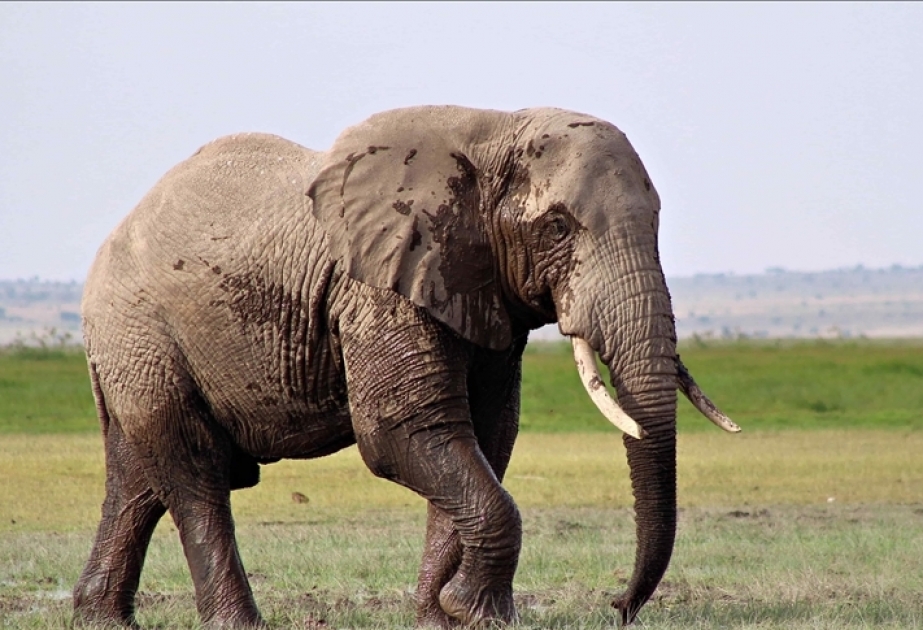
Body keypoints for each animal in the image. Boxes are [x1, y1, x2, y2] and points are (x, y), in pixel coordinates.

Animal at [73, 105, 739, 629]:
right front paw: (475, 613)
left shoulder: (477, 286)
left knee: (139, 478)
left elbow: (484, 436)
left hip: (137, 349)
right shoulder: (377, 285)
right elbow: (406, 433)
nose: (617, 607)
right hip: (142, 332)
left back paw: (99, 619)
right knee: (194, 471)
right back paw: (236, 624)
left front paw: (443, 618)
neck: (493, 132)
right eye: (557, 226)